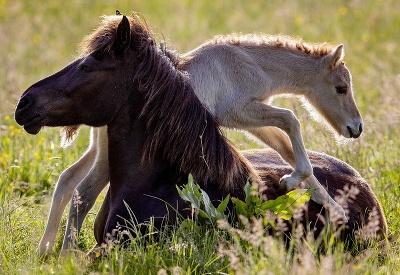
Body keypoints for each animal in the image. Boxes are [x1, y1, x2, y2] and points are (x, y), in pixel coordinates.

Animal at [14, 12, 384, 254]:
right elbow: (291, 122)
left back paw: (47, 250)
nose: (356, 128)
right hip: (104, 155)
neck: (249, 64)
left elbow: (288, 149)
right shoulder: (240, 113)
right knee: (83, 192)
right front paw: (304, 189)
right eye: (340, 88)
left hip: (97, 149)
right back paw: (61, 252)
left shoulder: (253, 119)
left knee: (68, 181)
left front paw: (330, 207)